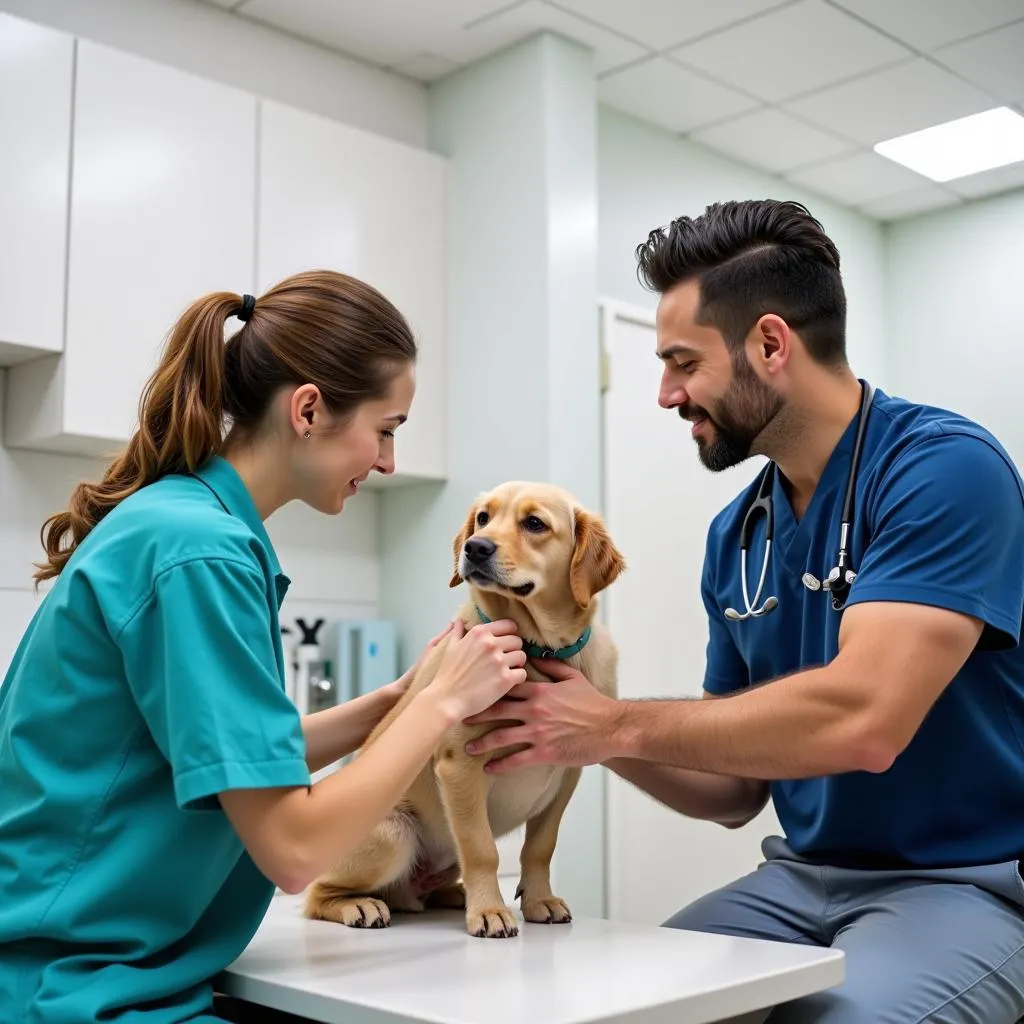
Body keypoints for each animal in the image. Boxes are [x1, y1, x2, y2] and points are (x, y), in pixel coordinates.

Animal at [301, 479, 622, 937]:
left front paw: (539, 900)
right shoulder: (459, 766)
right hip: (393, 834)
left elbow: (540, 847)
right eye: (483, 518)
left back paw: (450, 895)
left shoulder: (567, 774)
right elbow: (482, 849)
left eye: (535, 523)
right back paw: (358, 906)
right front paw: (488, 911)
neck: (536, 648)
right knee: (316, 894)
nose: (475, 547)